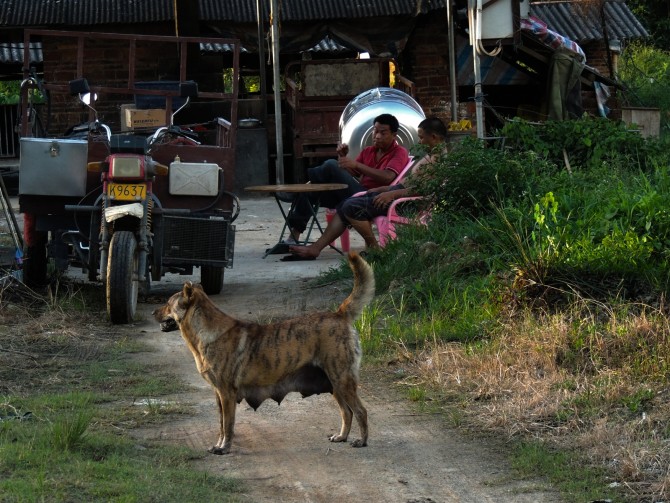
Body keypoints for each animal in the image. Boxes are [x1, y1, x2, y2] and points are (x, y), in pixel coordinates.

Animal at [152, 254, 376, 454]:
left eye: (168, 303)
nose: (152, 312)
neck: (207, 331)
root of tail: (339, 314)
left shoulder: (226, 393)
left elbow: (228, 425)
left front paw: (224, 448)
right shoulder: (218, 394)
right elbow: (221, 425)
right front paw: (218, 444)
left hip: (342, 379)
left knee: (360, 411)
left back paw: (362, 441)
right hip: (334, 384)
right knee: (347, 412)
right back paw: (342, 437)